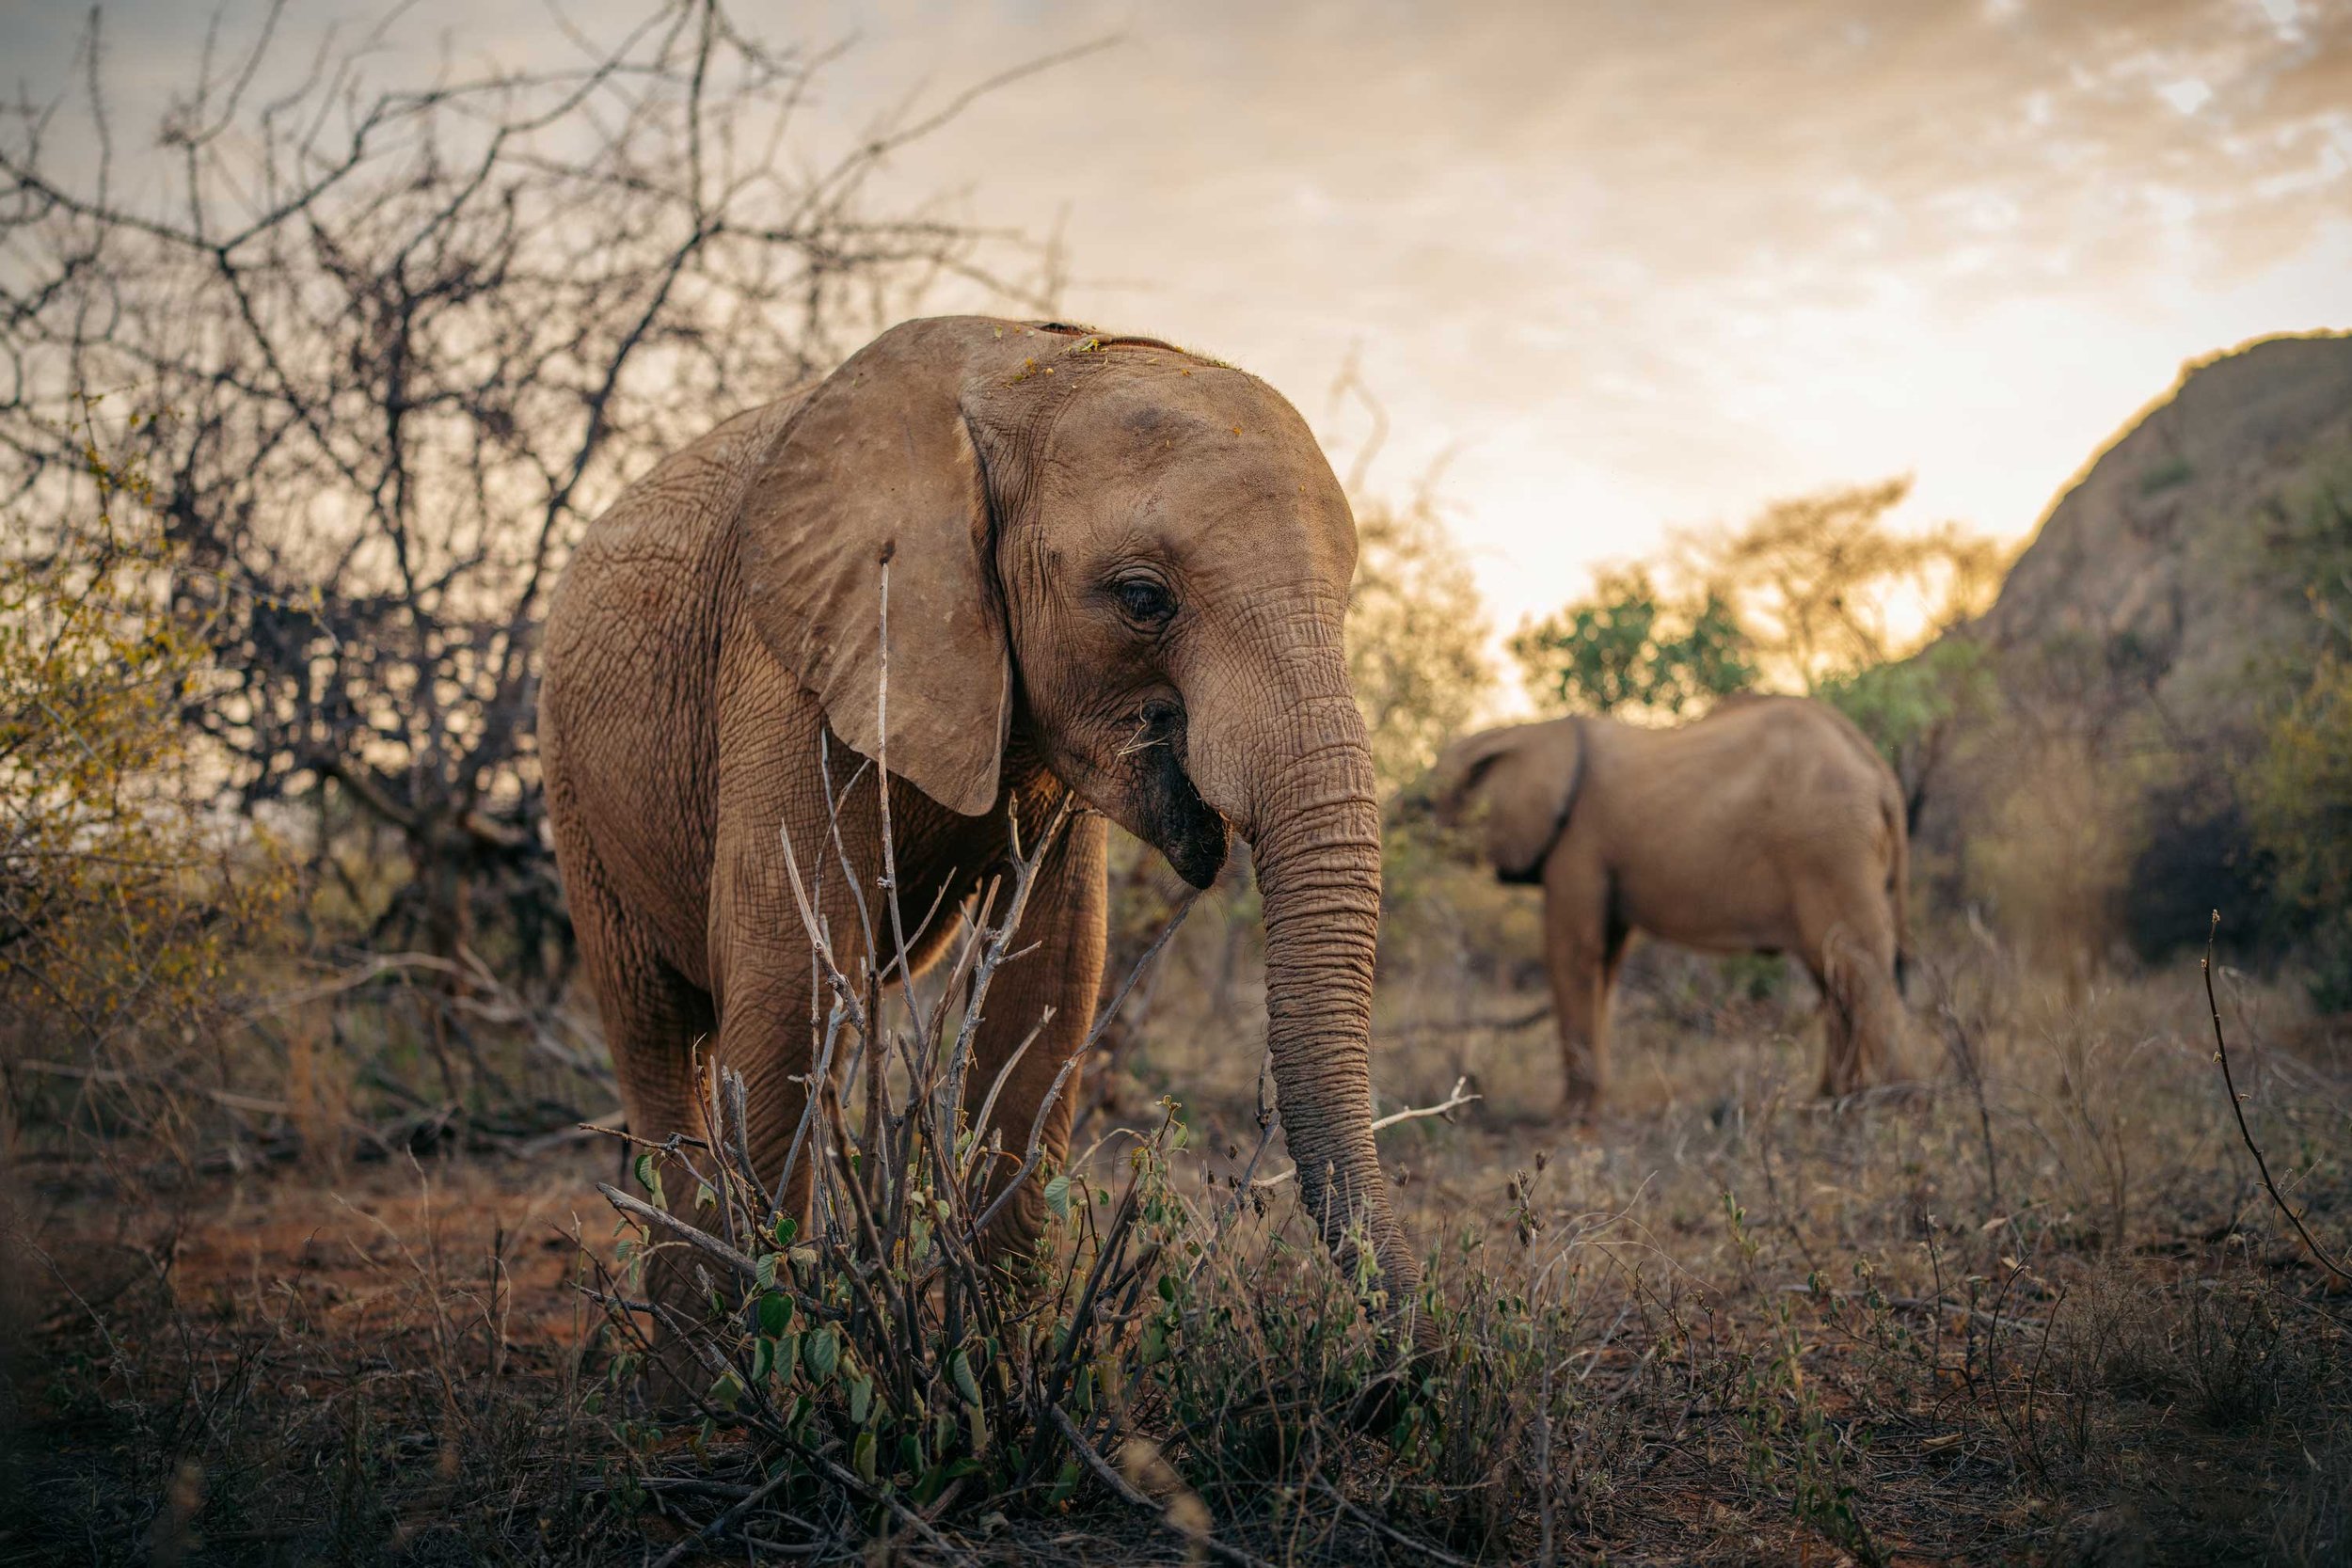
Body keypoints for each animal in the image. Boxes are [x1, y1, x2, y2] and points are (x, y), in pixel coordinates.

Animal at [538, 315, 1421, 1370]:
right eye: (1142, 598)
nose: (1406, 1369)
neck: (1026, 368)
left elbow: (1044, 988)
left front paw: (1000, 1369)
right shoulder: (787, 658)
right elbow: (788, 981)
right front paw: (773, 1379)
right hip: (571, 781)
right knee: (658, 1037)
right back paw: (684, 1369)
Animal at [1429, 696, 1908, 1114]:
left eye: (1428, 801)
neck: (1527, 730)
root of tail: (1880, 773)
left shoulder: (1578, 844)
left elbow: (1572, 954)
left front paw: (1566, 1122)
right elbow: (1605, 961)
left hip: (1830, 847)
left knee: (1854, 966)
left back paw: (1869, 1108)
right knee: (1831, 975)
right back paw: (1825, 1105)